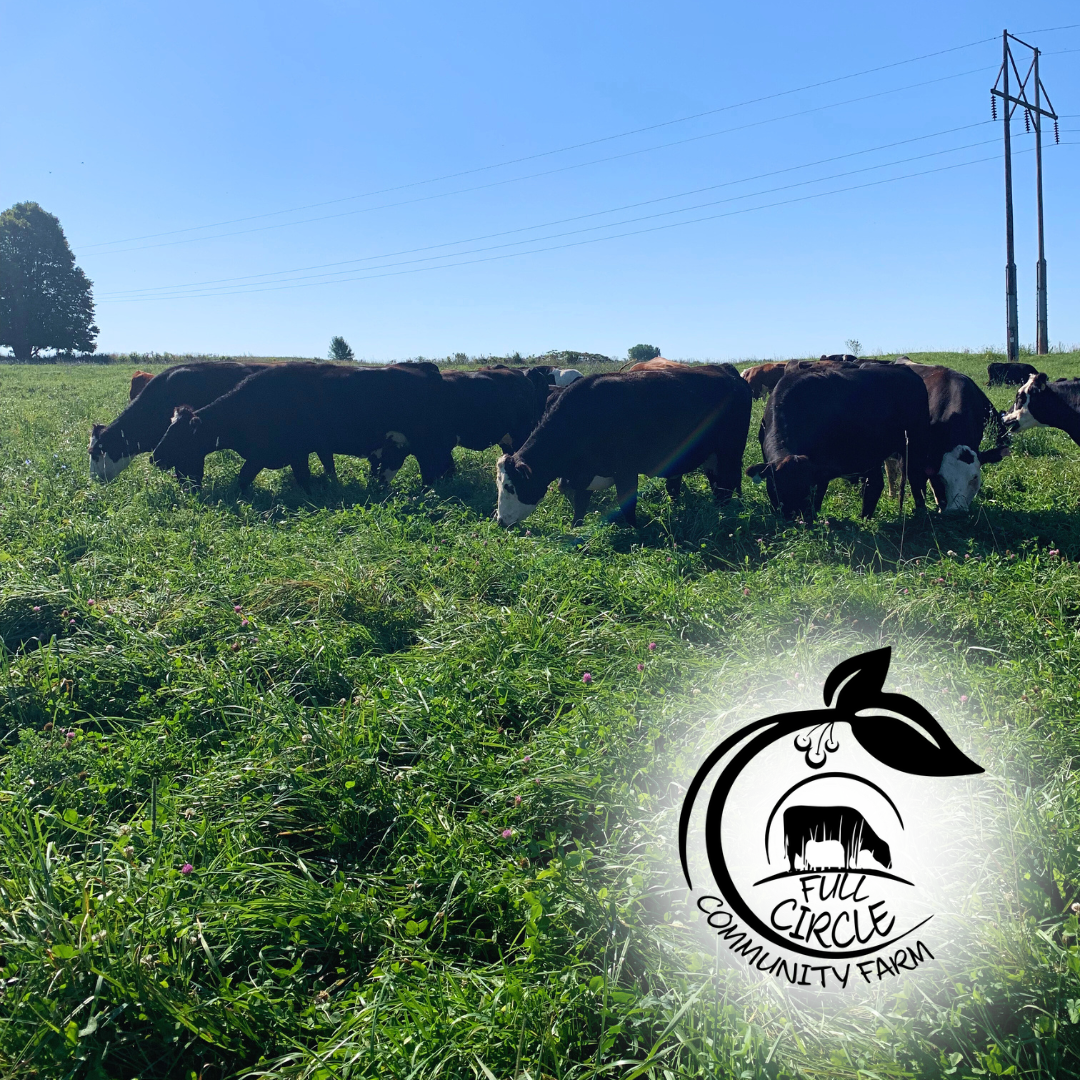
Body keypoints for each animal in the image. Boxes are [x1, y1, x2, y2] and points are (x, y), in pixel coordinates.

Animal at [151, 362, 449, 490]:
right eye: (168, 427)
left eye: (179, 435)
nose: (155, 457)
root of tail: (425, 368)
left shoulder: (283, 452)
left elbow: (246, 478)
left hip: (427, 443)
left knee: (434, 469)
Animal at [496, 364, 751, 528]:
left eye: (510, 487)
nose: (500, 521)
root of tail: (727, 370)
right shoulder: (582, 474)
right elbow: (580, 506)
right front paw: (576, 532)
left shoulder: (626, 471)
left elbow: (626, 504)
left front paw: (635, 533)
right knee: (717, 485)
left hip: (729, 452)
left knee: (727, 484)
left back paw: (725, 516)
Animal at [747, 362, 930, 520]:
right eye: (777, 487)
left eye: (809, 489)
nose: (796, 517)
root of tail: (905, 370)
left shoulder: (821, 470)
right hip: (871, 452)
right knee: (875, 484)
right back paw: (865, 518)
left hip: (916, 443)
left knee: (916, 478)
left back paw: (920, 513)